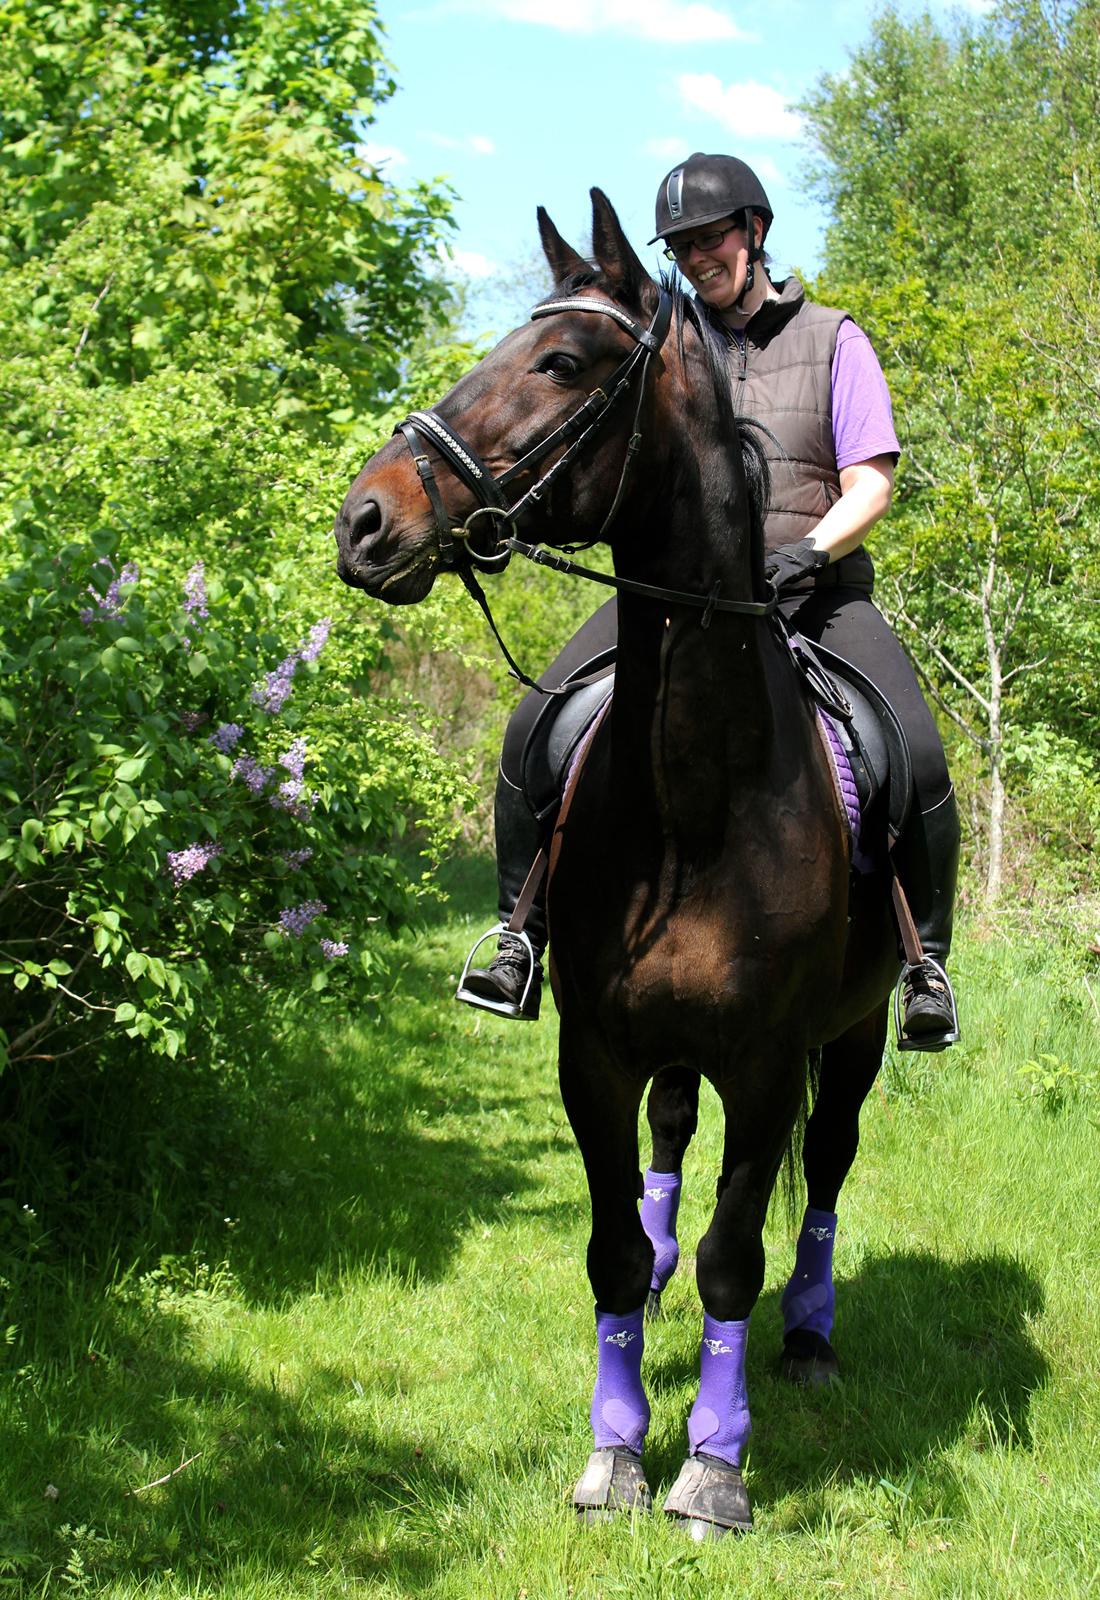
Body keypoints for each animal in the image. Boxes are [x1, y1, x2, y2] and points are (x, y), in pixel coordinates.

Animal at [335, 190, 901, 1536]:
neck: (700, 792)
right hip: (665, 1050)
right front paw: (613, 1452)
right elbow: (606, 1242)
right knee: (665, 1154)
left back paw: (809, 1339)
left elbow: (738, 1256)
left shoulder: (767, 1063)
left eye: (559, 362)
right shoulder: (591, 1049)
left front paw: (712, 1468)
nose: (363, 521)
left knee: (825, 1173)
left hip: (851, 1041)